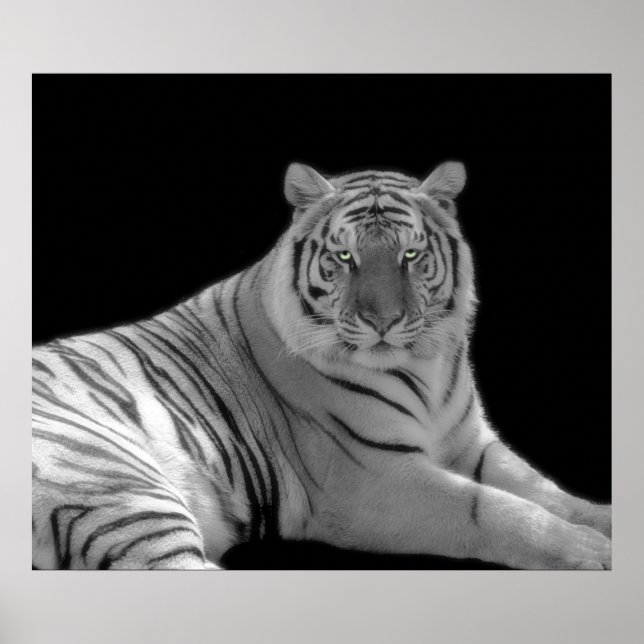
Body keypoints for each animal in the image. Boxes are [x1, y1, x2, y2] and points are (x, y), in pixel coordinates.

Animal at [32, 160, 611, 570]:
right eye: (345, 257)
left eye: (409, 256)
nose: (383, 321)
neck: (427, 368)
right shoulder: (376, 478)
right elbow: (492, 509)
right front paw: (587, 551)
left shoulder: (469, 443)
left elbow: (545, 490)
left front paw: (602, 520)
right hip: (117, 481)